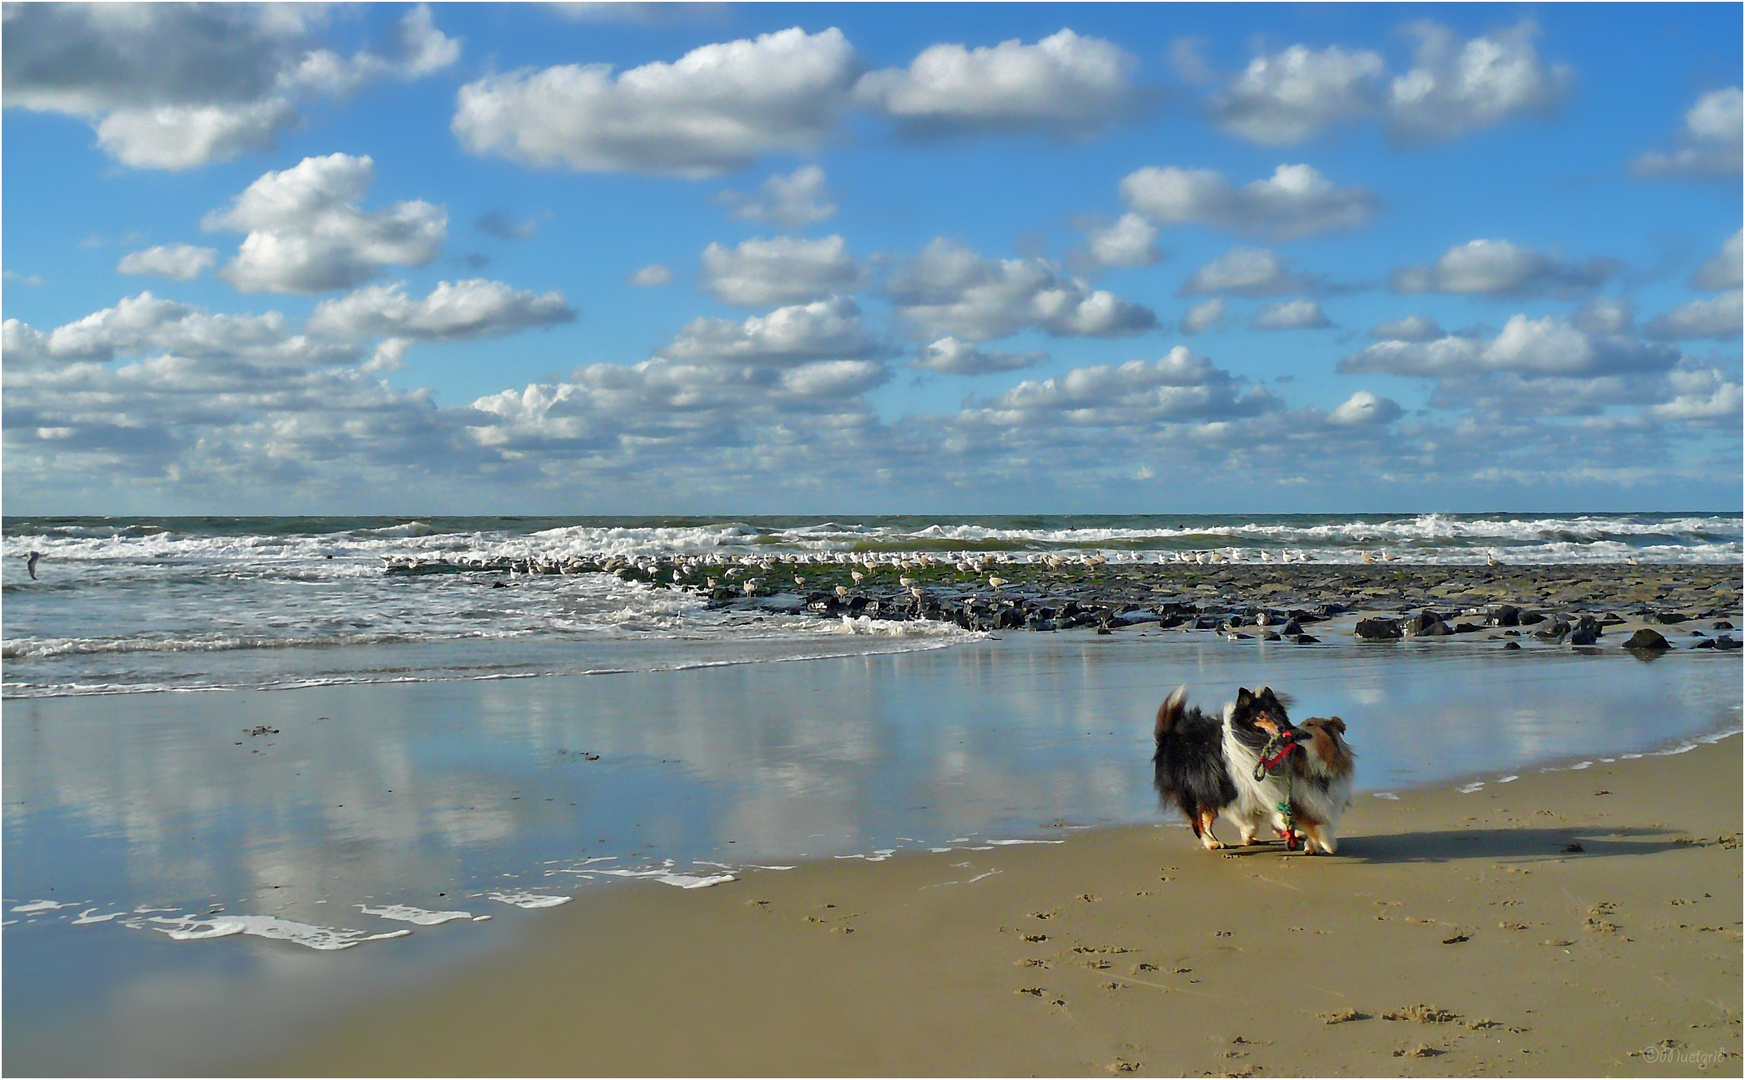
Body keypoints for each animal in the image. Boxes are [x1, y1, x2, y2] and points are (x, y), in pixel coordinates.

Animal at [1151, 687, 1354, 858]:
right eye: (1261, 715)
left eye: (1277, 712)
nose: (1286, 729)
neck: (1255, 742)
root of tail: (1168, 736)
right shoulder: (1242, 790)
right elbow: (1257, 818)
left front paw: (1290, 832)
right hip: (1194, 791)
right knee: (1197, 822)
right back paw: (1210, 843)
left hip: (1210, 790)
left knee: (1207, 819)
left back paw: (1218, 840)